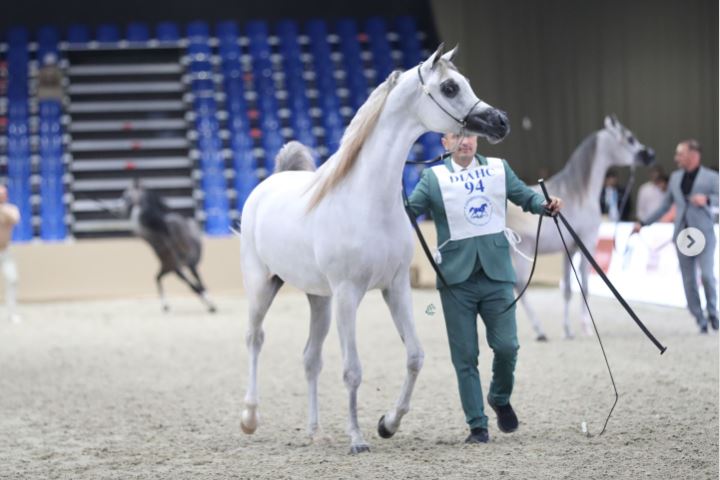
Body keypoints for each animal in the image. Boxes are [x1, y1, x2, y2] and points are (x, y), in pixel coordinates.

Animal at [121, 182, 217, 314]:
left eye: (128, 195)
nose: (121, 207)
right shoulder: (175, 266)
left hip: (179, 266)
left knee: (195, 283)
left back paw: (209, 303)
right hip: (170, 267)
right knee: (160, 278)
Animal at [239, 43, 510, 452]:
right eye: (449, 87)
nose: (500, 121)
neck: (366, 200)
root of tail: (269, 183)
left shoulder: (395, 288)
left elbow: (415, 356)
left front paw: (388, 424)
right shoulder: (348, 294)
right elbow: (352, 371)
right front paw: (357, 439)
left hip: (320, 299)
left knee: (310, 359)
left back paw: (316, 432)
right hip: (262, 285)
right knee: (255, 339)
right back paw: (250, 418)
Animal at [506, 115, 652, 342]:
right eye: (629, 138)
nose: (650, 155)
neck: (579, 193)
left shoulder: (570, 249)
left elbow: (567, 289)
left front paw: (568, 330)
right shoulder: (587, 244)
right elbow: (585, 284)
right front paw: (586, 327)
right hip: (522, 253)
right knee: (520, 285)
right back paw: (539, 330)